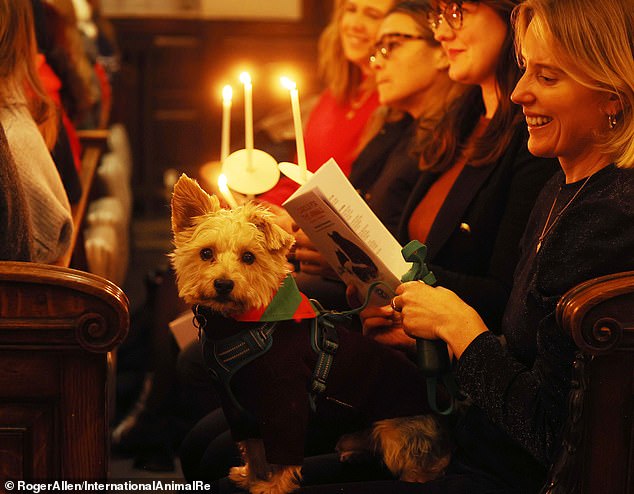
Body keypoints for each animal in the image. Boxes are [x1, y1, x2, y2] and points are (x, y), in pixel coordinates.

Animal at [169, 176, 450, 492]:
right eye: (206, 253)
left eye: (249, 257)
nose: (223, 284)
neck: (241, 324)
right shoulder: (237, 409)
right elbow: (253, 448)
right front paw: (252, 475)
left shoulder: (284, 405)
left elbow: (283, 455)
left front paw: (272, 487)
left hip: (396, 429)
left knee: (429, 458)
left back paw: (418, 474)